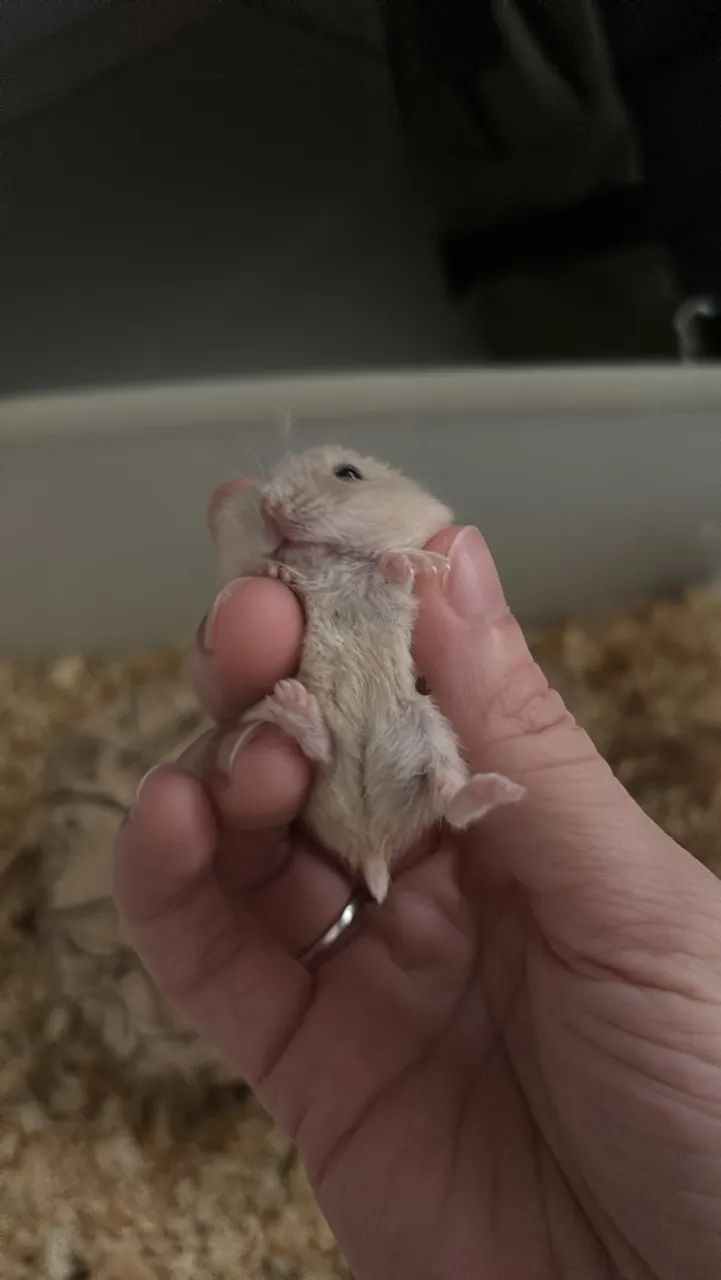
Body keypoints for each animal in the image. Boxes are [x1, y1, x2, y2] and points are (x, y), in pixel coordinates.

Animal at [212, 445, 524, 903]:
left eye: (348, 474)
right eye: (268, 479)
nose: (270, 504)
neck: (329, 557)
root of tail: (372, 848)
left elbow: (388, 570)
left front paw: (421, 561)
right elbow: (257, 570)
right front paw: (276, 572)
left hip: (428, 732)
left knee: (451, 800)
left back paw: (502, 790)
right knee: (322, 751)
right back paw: (292, 706)